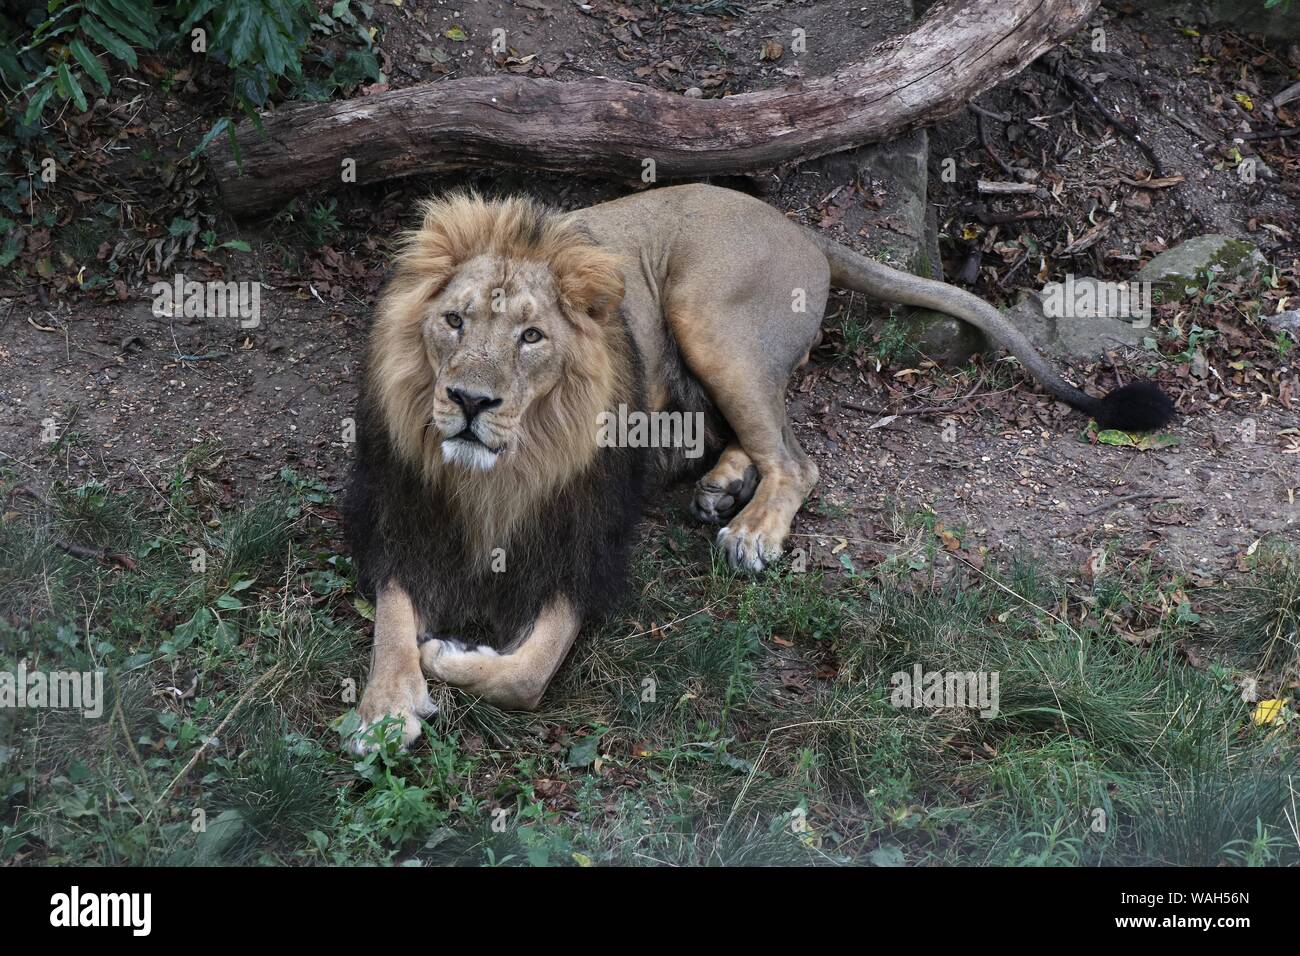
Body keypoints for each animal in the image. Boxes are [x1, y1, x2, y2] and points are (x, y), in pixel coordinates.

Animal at [340, 180, 1175, 749]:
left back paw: (750, 531)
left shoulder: (587, 550)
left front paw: (445, 654)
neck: (503, 469)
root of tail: (794, 223)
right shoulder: (401, 521)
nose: (468, 401)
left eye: (531, 337)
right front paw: (385, 706)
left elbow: (526, 672)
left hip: (708, 312)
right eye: (453, 321)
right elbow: (391, 619)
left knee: (797, 460)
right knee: (749, 432)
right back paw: (721, 489)